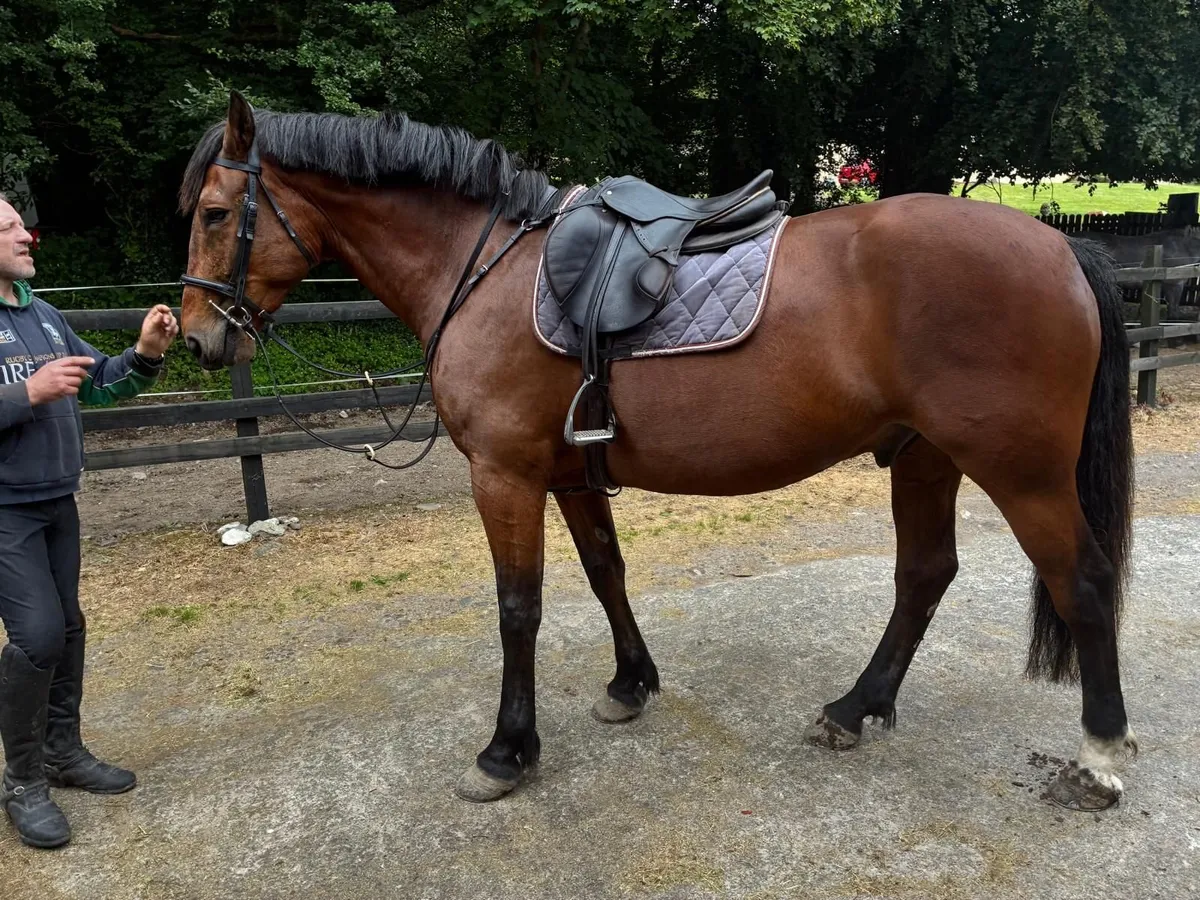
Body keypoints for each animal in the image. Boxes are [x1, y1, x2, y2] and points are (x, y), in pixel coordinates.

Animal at [178, 92, 1138, 811]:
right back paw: (854, 708)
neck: (481, 269)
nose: (193, 338)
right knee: (925, 574)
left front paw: (506, 751)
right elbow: (606, 572)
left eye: (218, 214)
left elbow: (518, 607)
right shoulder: (568, 474)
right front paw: (630, 685)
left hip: (1022, 472)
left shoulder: (505, 475)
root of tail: (1062, 246)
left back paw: (1098, 759)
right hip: (925, 456)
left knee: (1084, 583)